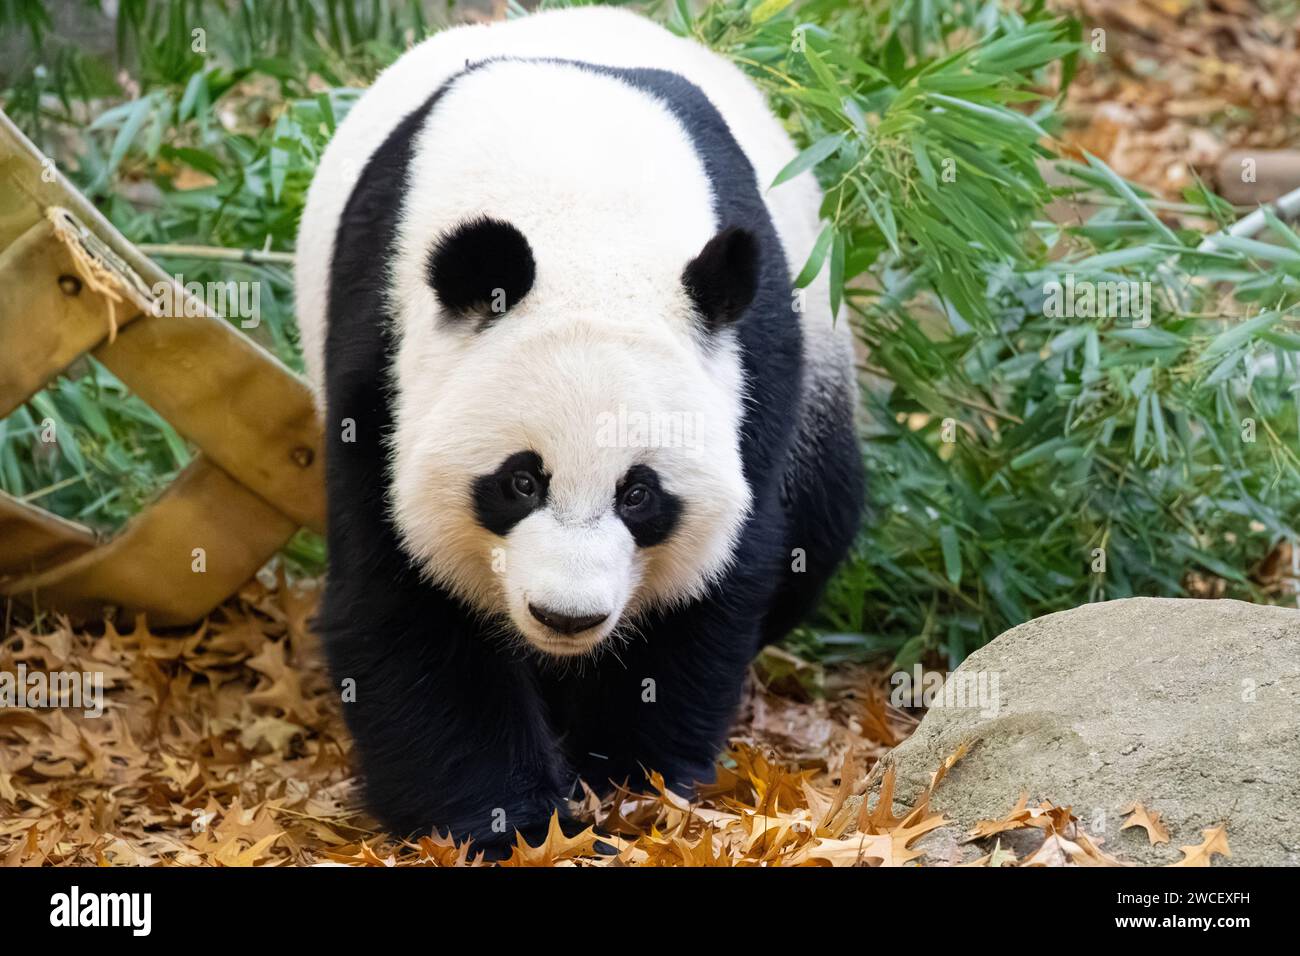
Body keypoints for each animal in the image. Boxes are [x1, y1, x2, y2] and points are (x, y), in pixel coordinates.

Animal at [293, 3, 863, 848]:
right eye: (520, 481)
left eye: (639, 494)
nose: (567, 617)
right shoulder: (383, 351)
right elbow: (402, 591)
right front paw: (510, 821)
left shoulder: (751, 370)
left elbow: (711, 589)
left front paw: (631, 784)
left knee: (820, 524)